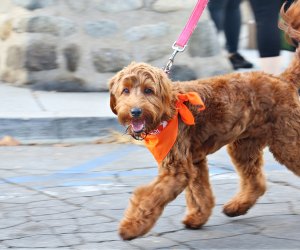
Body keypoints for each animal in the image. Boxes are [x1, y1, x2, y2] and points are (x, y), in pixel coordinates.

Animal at [109, 1, 300, 240]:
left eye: (148, 90)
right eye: (125, 90)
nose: (135, 111)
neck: (169, 110)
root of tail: (282, 80)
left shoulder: (177, 170)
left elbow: (149, 197)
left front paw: (131, 226)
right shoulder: (194, 161)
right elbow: (199, 193)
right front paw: (197, 217)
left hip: (286, 143)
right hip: (243, 146)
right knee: (255, 182)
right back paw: (237, 207)